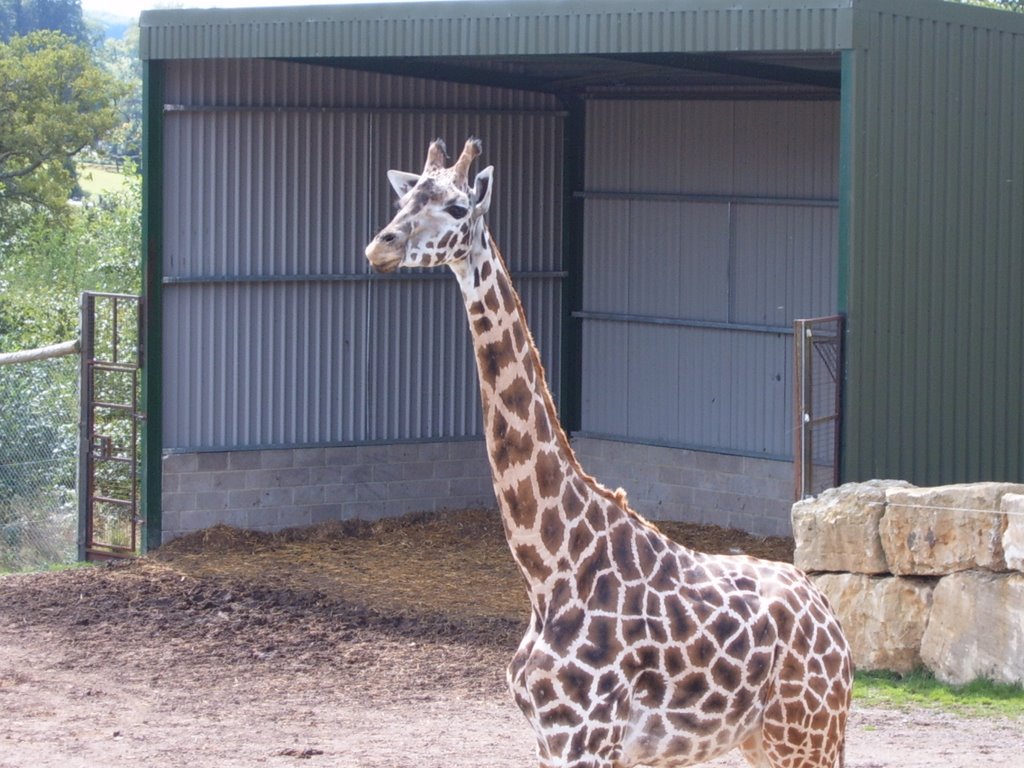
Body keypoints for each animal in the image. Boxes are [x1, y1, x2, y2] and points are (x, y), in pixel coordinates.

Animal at [364, 140, 851, 768]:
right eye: (404, 200)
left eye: (455, 207)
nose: (380, 247)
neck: (547, 568)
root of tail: (830, 616)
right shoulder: (551, 740)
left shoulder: (585, 737)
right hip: (761, 738)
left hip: (808, 731)